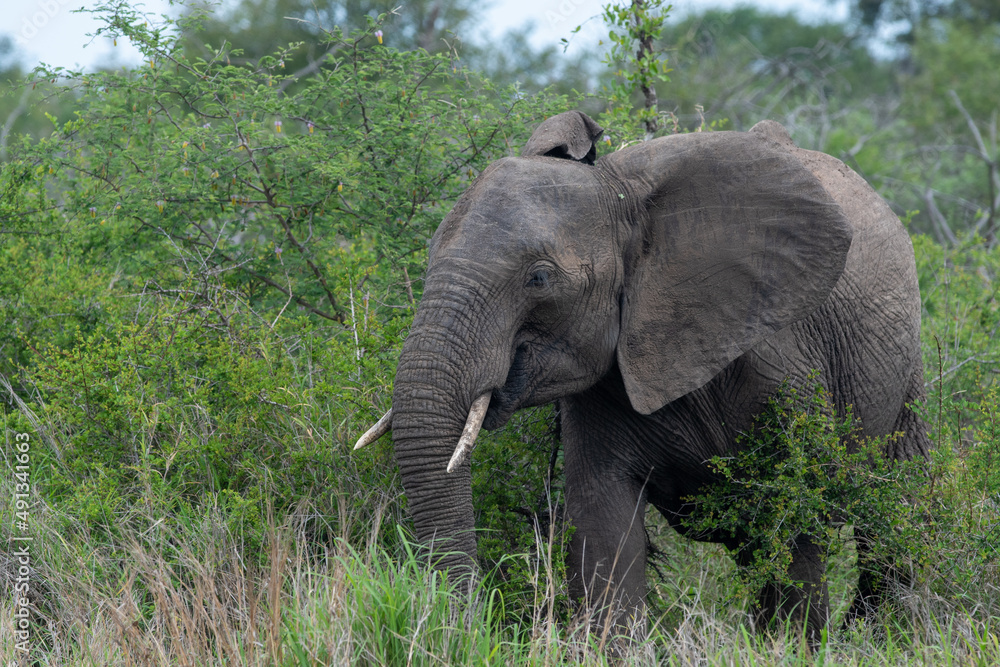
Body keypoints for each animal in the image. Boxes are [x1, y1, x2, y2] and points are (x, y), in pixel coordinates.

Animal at [358, 112, 928, 640]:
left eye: (539, 278)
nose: (471, 619)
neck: (620, 195)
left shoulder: (783, 366)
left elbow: (793, 516)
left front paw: (793, 646)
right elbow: (603, 525)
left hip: (907, 373)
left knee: (897, 512)